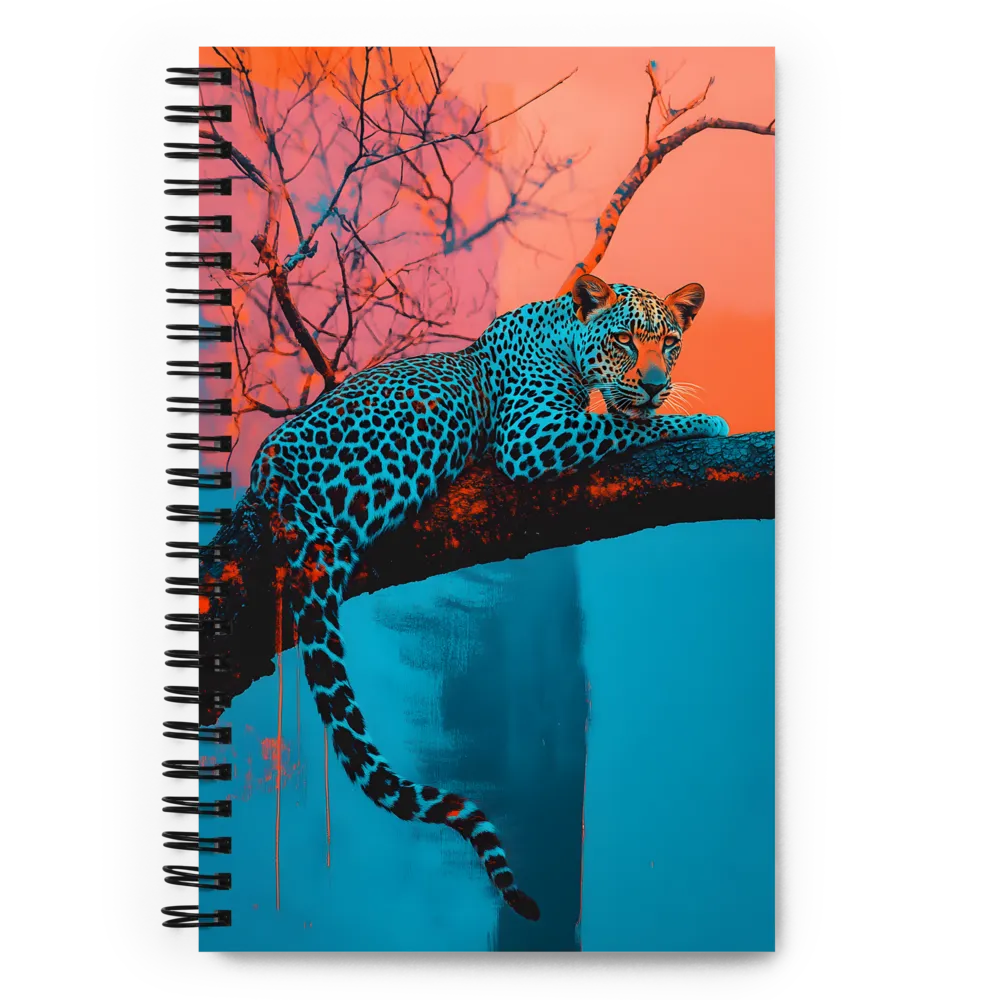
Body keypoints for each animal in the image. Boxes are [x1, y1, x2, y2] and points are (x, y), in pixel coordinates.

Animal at [248, 273, 729, 922]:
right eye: (625, 340)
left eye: (671, 342)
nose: (656, 384)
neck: (561, 334)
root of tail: (265, 472)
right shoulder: (533, 436)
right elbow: (629, 427)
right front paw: (702, 420)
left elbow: (627, 418)